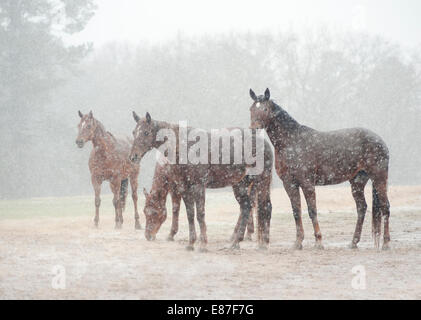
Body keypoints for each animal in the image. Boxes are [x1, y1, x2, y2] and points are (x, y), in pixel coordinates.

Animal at [129, 111, 272, 251]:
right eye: (134, 132)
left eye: (146, 132)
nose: (133, 157)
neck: (184, 146)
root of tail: (264, 143)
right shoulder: (183, 188)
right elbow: (190, 214)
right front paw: (191, 243)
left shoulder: (197, 187)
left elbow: (199, 214)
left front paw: (203, 244)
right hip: (240, 185)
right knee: (246, 207)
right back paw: (236, 242)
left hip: (262, 182)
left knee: (264, 207)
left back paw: (262, 242)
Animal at [248, 88, 388, 250]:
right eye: (251, 109)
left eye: (264, 109)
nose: (253, 130)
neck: (292, 142)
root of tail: (380, 140)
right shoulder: (289, 183)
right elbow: (296, 211)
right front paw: (298, 242)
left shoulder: (307, 183)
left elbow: (312, 210)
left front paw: (319, 241)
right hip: (357, 182)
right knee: (362, 208)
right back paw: (353, 242)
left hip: (379, 178)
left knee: (385, 207)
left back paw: (386, 243)